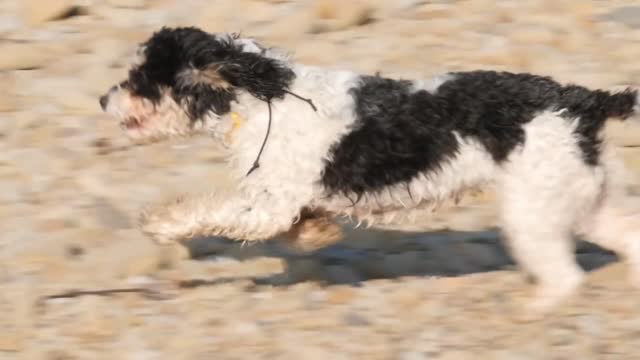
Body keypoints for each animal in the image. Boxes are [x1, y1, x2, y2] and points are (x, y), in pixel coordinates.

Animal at [100, 27, 640, 316]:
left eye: (141, 79)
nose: (104, 98)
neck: (257, 96)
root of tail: (582, 100)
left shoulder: (269, 203)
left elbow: (208, 210)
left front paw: (161, 224)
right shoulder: (283, 202)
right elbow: (300, 226)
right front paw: (317, 234)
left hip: (534, 212)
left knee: (565, 277)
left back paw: (531, 310)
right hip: (581, 198)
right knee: (626, 238)